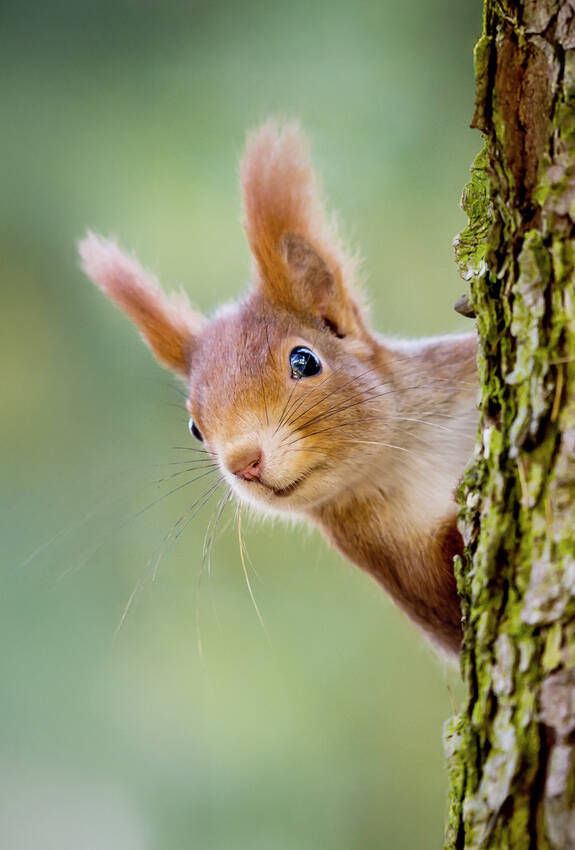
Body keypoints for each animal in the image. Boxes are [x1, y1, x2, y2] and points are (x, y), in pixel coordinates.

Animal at [79, 121, 478, 655]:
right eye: (194, 429)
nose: (243, 462)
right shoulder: (400, 567)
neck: (405, 457)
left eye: (304, 361)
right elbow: (451, 602)